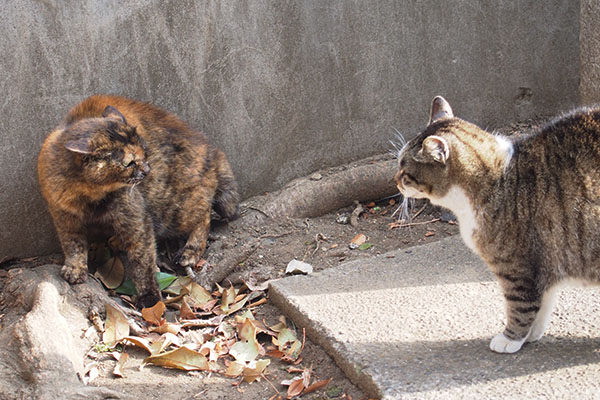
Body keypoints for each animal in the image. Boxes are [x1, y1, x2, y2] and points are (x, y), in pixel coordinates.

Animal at [36, 95, 239, 308]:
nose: (148, 170)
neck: (89, 195)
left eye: (145, 152)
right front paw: (75, 268)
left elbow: (143, 261)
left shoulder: (137, 221)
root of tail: (211, 149)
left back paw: (190, 252)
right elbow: (73, 244)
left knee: (205, 212)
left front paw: (150, 298)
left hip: (174, 209)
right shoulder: (64, 217)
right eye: (130, 163)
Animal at [396, 96, 600, 354]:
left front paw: (510, 339)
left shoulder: (516, 268)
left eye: (404, 171)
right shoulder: (546, 263)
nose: (395, 181)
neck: (498, 179)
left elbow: (520, 306)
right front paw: (531, 335)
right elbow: (544, 301)